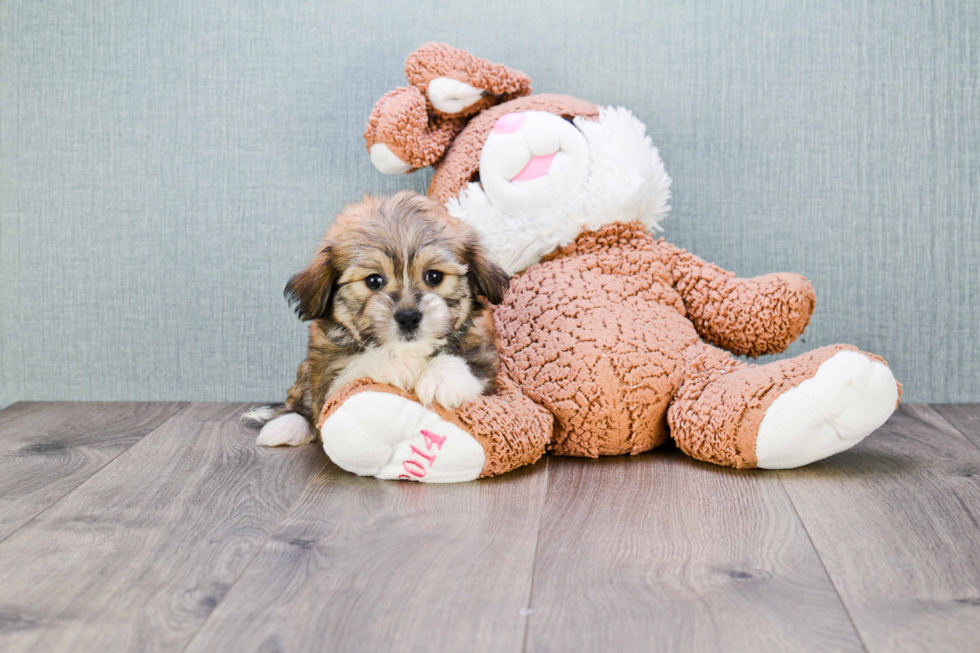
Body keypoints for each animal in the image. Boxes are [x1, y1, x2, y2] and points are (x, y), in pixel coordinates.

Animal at [245, 187, 510, 444]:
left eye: (434, 276)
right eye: (373, 281)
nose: (408, 317)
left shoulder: (487, 355)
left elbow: (474, 364)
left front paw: (442, 378)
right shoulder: (327, 380)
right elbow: (353, 367)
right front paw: (396, 364)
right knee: (300, 403)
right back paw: (286, 426)